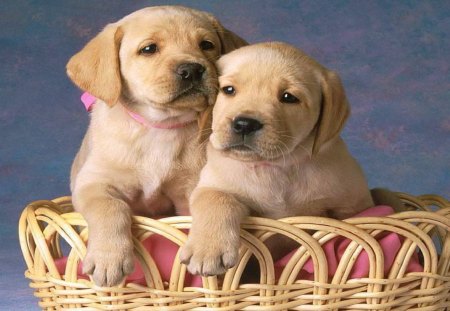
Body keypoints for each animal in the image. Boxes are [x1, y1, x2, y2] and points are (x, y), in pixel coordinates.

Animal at [67, 5, 246, 288]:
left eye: (206, 45)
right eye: (149, 49)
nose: (192, 69)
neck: (161, 128)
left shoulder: (191, 189)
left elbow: (212, 203)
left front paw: (209, 249)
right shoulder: (93, 183)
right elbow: (110, 207)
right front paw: (109, 259)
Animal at [179, 42, 372, 278]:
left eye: (289, 97)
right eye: (228, 90)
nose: (244, 124)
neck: (275, 167)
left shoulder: (353, 202)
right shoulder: (212, 184)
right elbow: (215, 198)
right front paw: (207, 250)